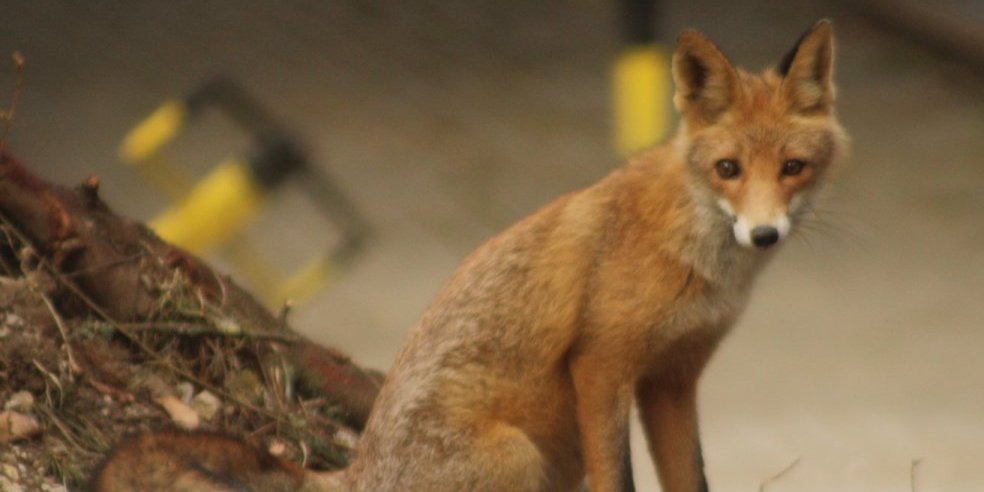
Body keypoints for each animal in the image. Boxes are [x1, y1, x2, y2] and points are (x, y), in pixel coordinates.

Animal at [90, 20, 844, 492]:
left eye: (793, 168)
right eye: (727, 169)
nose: (764, 234)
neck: (698, 259)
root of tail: (357, 473)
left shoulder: (672, 379)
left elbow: (693, 479)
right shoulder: (602, 364)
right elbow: (620, 479)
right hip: (518, 455)